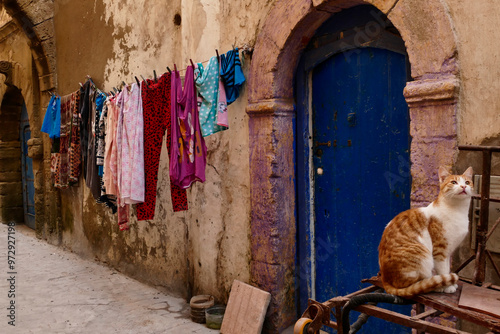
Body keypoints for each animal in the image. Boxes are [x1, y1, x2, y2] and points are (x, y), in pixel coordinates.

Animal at [378, 167, 472, 298]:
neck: (458, 210)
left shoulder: (448, 252)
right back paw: (436, 285)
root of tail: (385, 280)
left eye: (467, 182)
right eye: (454, 182)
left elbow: (447, 269)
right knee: (416, 285)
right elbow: (443, 270)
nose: (463, 186)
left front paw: (450, 282)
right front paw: (448, 286)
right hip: (423, 256)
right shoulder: (440, 251)